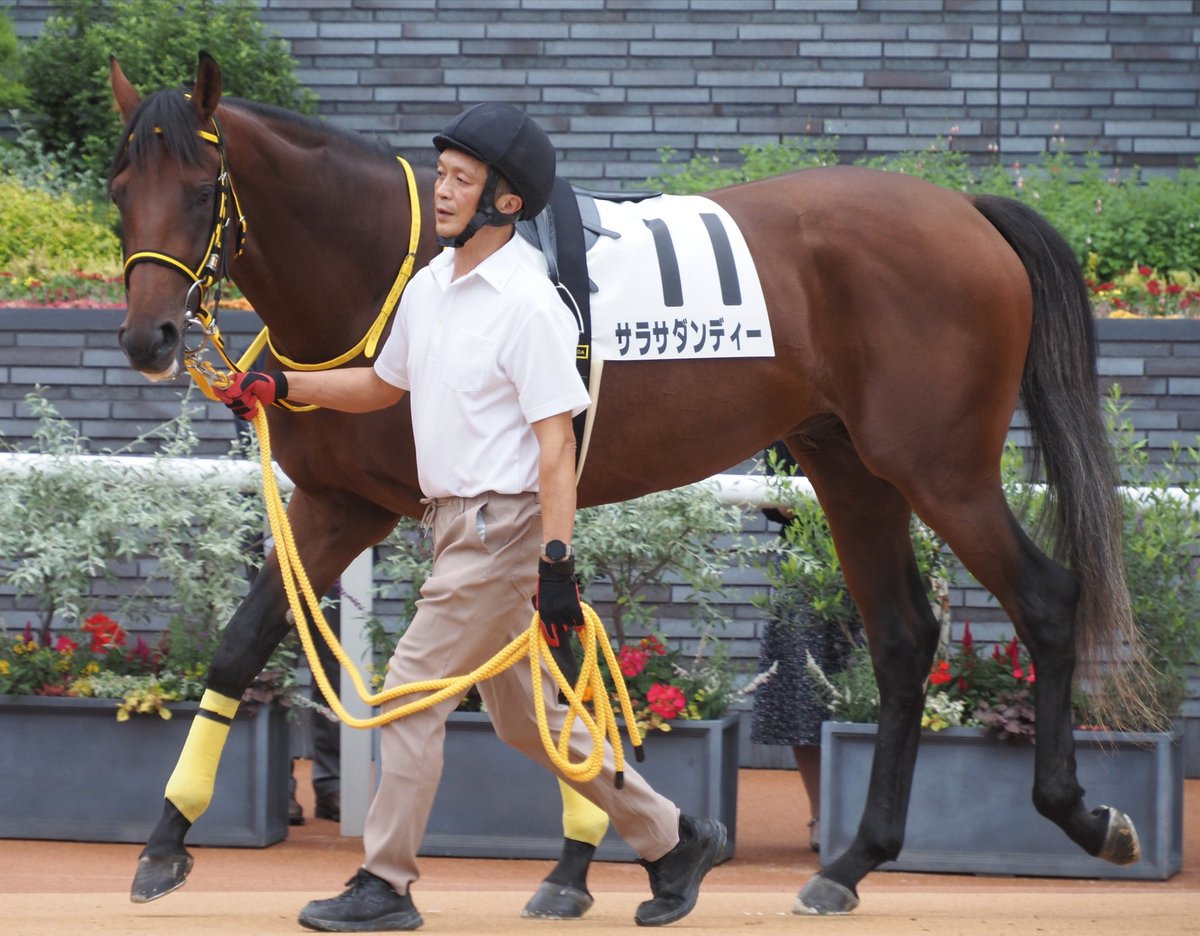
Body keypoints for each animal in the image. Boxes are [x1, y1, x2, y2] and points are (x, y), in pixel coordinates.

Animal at [108, 53, 1145, 917]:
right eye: (119, 190)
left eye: (200, 191)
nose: (148, 339)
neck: (392, 264)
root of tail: (968, 212)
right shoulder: (340, 503)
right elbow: (241, 649)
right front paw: (164, 841)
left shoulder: (415, 510)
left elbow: (541, 671)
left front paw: (589, 861)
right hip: (850, 466)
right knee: (902, 639)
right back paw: (851, 865)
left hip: (941, 467)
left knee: (1046, 599)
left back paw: (1084, 816)